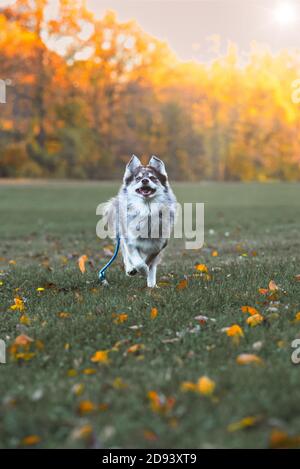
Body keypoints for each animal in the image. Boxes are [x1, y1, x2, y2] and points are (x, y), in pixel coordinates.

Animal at [104, 154, 177, 286]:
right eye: (138, 178)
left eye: (152, 178)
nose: (145, 180)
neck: (146, 209)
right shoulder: (129, 240)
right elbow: (136, 260)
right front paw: (138, 269)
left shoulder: (160, 244)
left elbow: (150, 260)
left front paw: (147, 273)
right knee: (126, 255)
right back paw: (131, 269)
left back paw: (152, 285)